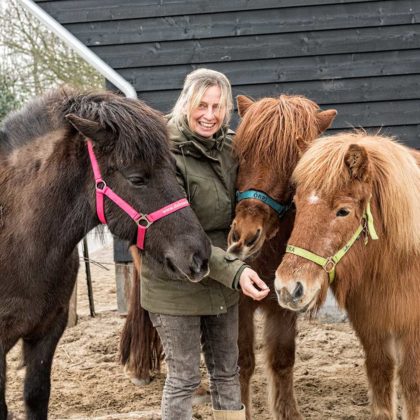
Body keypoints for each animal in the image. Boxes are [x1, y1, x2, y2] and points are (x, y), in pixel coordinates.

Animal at [225, 96, 336, 420]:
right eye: (242, 155)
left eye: (293, 167)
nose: (244, 236)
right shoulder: (239, 303)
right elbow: (242, 361)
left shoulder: (285, 301)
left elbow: (283, 359)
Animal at [276, 132, 420, 420]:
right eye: (296, 205)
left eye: (343, 211)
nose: (288, 288)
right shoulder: (372, 329)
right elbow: (381, 380)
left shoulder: (413, 332)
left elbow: (412, 387)